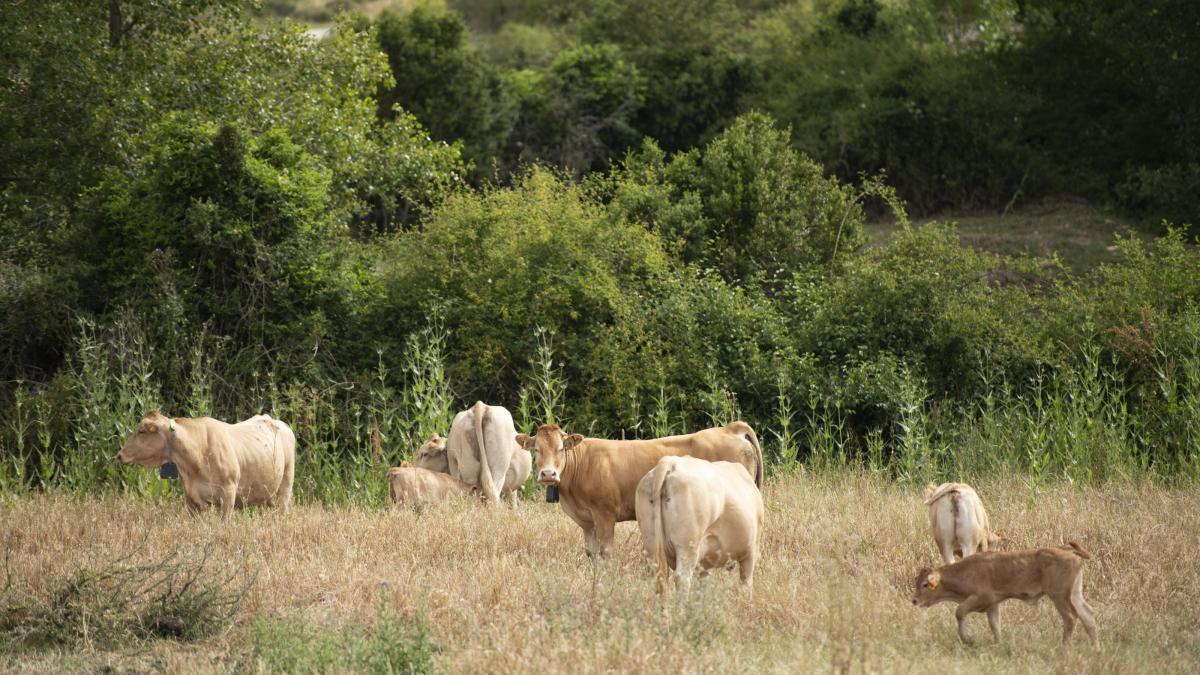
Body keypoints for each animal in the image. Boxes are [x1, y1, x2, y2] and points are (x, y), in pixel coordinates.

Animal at [117, 410, 295, 514]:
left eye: (142, 431)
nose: (119, 455)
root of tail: (280, 423)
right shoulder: (191, 499)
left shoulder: (228, 493)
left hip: (286, 485)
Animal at [513, 420, 758, 557]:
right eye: (536, 449)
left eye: (561, 448)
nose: (548, 474)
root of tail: (729, 429)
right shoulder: (587, 522)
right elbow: (591, 552)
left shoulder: (604, 514)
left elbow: (606, 552)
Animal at [912, 538, 1099, 643]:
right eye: (917, 581)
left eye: (925, 584)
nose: (914, 600)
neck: (966, 570)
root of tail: (1065, 548)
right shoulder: (993, 605)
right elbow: (995, 625)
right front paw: (999, 643)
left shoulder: (982, 598)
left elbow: (959, 612)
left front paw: (967, 638)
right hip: (1074, 594)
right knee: (1088, 616)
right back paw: (1095, 648)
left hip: (1059, 596)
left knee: (1070, 618)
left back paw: (1064, 648)